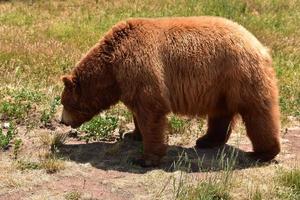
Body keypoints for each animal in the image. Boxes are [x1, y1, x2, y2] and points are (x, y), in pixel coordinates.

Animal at [61, 16, 282, 167]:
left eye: (64, 103)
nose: (62, 121)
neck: (111, 67)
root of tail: (260, 46)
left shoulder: (140, 66)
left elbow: (151, 110)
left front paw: (145, 158)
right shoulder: (129, 80)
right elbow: (139, 111)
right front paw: (132, 134)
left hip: (240, 75)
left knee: (257, 112)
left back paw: (262, 153)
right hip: (221, 86)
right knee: (221, 113)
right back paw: (206, 140)